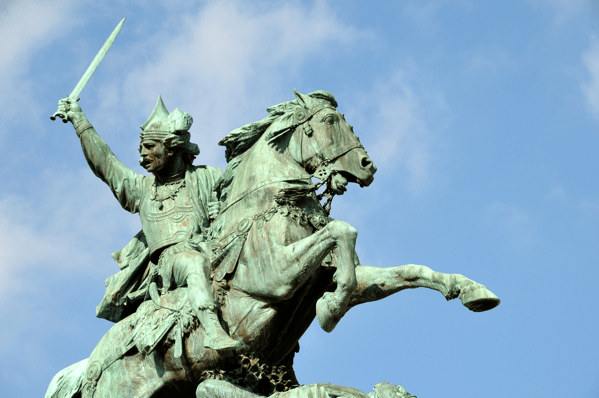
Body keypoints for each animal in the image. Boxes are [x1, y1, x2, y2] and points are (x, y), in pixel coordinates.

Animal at [44, 89, 500, 398]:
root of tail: (85, 369)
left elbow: (399, 272)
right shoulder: (275, 277)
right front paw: (331, 310)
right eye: (330, 122)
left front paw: (471, 290)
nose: (366, 166)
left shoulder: (324, 273)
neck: (268, 208)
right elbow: (342, 232)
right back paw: (222, 340)